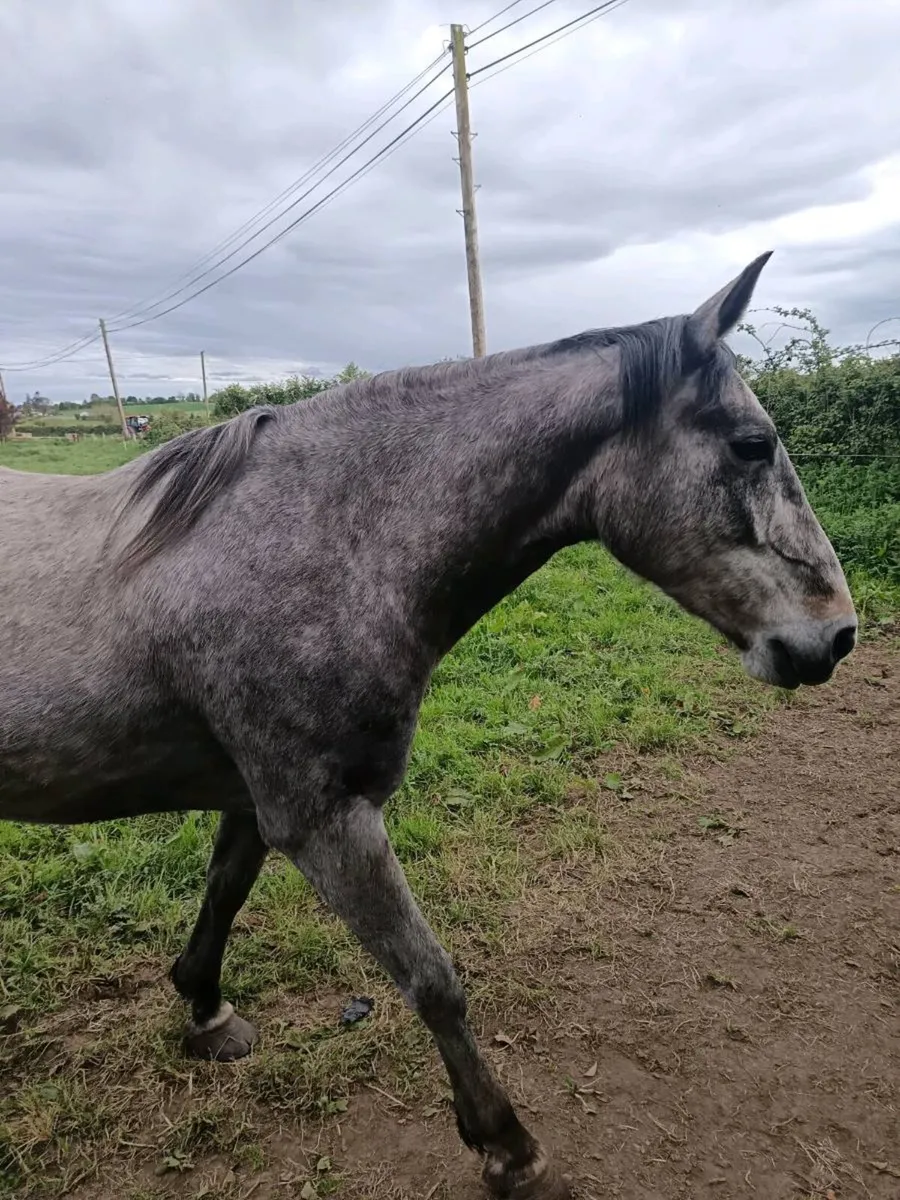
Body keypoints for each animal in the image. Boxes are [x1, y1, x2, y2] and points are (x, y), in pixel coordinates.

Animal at [0, 252, 857, 1199]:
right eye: (751, 444)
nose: (837, 635)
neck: (321, 544)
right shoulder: (326, 821)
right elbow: (432, 979)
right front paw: (507, 1147)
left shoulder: (258, 803)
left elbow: (222, 897)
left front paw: (205, 1011)